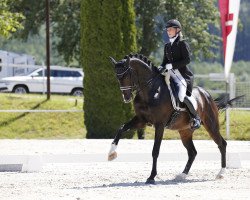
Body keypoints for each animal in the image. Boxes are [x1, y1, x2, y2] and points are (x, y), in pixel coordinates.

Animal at [107, 53, 234, 184]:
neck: (150, 91)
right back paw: (182, 175)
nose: (126, 98)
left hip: (211, 125)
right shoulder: (141, 120)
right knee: (192, 152)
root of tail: (207, 94)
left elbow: (155, 150)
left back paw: (221, 173)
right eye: (117, 77)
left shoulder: (159, 125)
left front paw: (151, 177)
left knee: (222, 144)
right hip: (185, 131)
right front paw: (111, 153)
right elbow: (121, 128)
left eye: (127, 75)